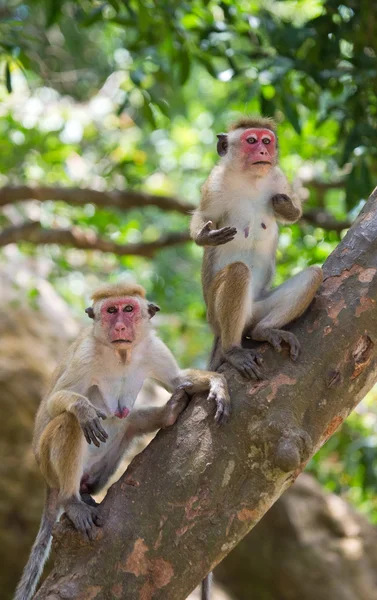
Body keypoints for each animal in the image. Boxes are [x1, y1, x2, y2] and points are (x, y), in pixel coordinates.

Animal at [15, 282, 229, 600]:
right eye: (110, 310)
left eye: (128, 309)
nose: (119, 326)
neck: (122, 353)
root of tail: (48, 481)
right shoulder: (86, 355)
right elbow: (55, 401)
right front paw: (83, 408)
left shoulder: (153, 347)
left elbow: (178, 380)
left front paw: (216, 383)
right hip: (47, 460)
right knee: (68, 423)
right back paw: (71, 499)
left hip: (101, 468)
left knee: (128, 423)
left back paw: (167, 414)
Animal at [189, 115, 322, 378]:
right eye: (251, 140)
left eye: (266, 141)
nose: (263, 151)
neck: (250, 179)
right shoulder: (215, 183)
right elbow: (203, 216)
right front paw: (205, 235)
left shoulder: (278, 178)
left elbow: (294, 214)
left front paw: (285, 206)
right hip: (215, 316)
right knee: (238, 272)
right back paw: (232, 350)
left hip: (259, 308)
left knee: (313, 274)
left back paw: (264, 330)